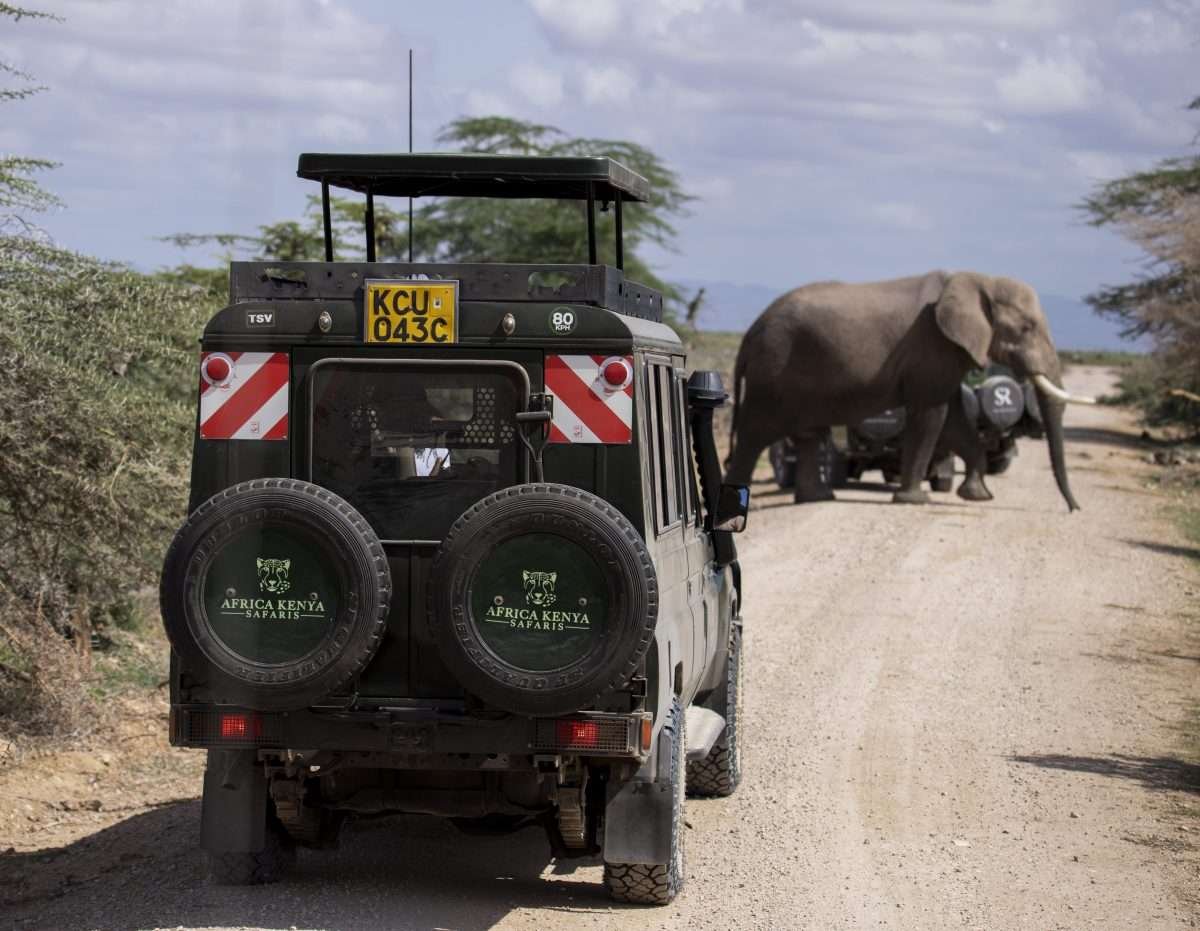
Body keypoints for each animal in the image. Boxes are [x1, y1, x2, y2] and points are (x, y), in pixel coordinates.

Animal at [725, 271, 1095, 510]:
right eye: (1027, 327)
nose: (1075, 509)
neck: (977, 280)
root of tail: (750, 334)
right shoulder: (932, 347)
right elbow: (932, 417)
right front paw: (914, 500)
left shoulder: (946, 356)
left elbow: (956, 422)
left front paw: (978, 496)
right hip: (772, 376)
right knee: (754, 436)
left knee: (808, 436)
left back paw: (817, 499)